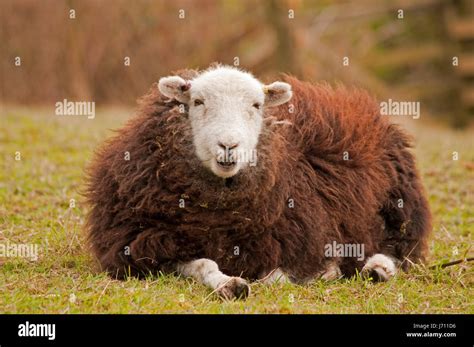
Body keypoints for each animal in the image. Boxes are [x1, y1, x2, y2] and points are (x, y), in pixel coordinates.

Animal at [83, 64, 432, 300]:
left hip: (399, 206)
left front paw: (317, 272)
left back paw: (378, 268)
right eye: (197, 102)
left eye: (256, 106)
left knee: (397, 247)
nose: (229, 146)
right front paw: (229, 284)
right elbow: (203, 264)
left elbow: (278, 274)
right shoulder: (144, 246)